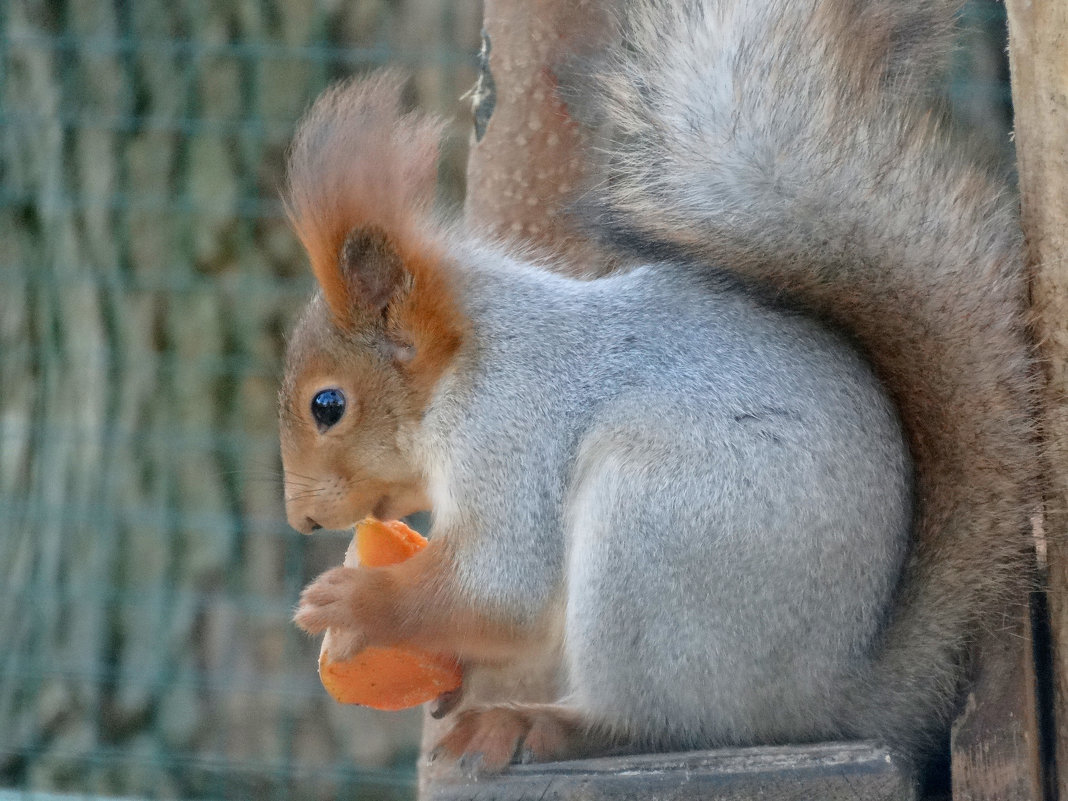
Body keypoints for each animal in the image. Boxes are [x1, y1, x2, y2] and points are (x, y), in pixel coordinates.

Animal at [281, 0, 1033, 786]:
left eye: (327, 406)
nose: (302, 519)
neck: (470, 363)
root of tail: (832, 692)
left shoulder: (511, 435)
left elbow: (502, 586)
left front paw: (356, 602)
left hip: (652, 533)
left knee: (653, 721)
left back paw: (540, 723)